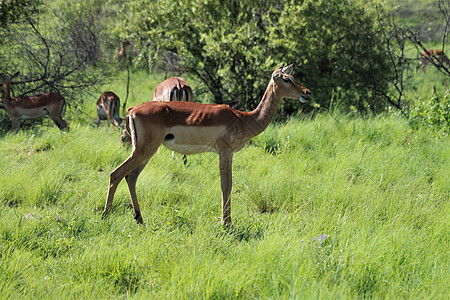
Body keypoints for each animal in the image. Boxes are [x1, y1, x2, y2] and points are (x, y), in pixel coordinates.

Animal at [103, 65, 312, 225]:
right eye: (287, 79)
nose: (307, 92)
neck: (244, 119)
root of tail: (132, 110)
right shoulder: (225, 152)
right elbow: (226, 185)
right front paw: (226, 223)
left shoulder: (228, 154)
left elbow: (227, 185)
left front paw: (227, 221)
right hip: (144, 150)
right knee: (116, 174)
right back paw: (106, 215)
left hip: (147, 152)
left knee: (131, 177)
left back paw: (139, 218)